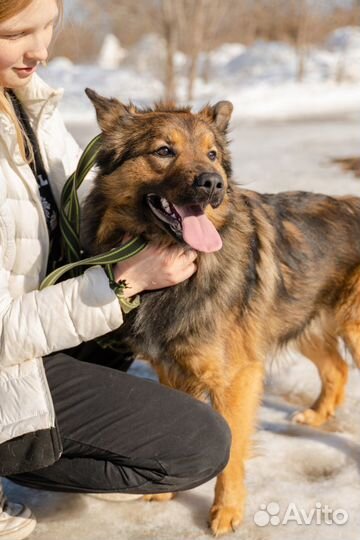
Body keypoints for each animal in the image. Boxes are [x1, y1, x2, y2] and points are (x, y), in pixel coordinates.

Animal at [81, 88, 360, 536]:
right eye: (164, 150)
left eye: (212, 155)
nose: (214, 183)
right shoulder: (172, 371)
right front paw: (167, 494)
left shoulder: (238, 376)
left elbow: (232, 451)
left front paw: (226, 512)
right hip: (302, 320)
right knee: (336, 369)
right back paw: (317, 415)